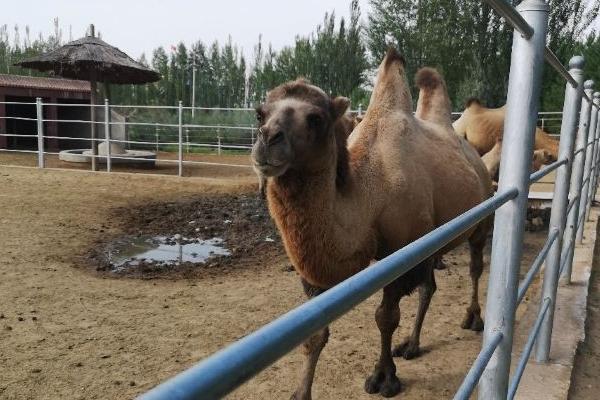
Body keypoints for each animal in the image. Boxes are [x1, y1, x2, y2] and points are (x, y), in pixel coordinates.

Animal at [252, 48, 492, 398]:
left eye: (316, 118)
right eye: (260, 114)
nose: (268, 139)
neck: (371, 191)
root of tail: (477, 159)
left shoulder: (400, 253)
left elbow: (385, 317)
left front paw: (384, 378)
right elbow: (314, 332)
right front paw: (301, 392)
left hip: (481, 218)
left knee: (475, 266)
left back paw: (473, 319)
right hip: (432, 243)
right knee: (429, 287)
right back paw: (412, 345)